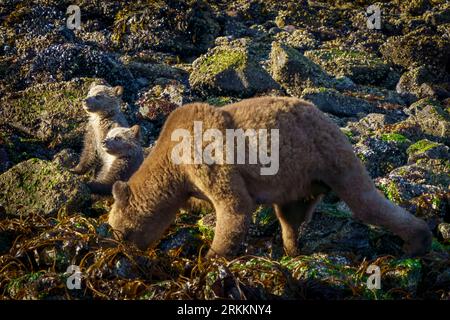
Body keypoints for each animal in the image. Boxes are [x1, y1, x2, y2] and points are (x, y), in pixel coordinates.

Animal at [106, 96, 432, 258]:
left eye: (120, 231)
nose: (123, 249)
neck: (171, 165)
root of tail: (330, 121)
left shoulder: (206, 157)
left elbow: (234, 206)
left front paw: (211, 256)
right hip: (299, 181)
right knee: (290, 216)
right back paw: (291, 248)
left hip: (328, 157)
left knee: (365, 202)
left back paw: (417, 242)